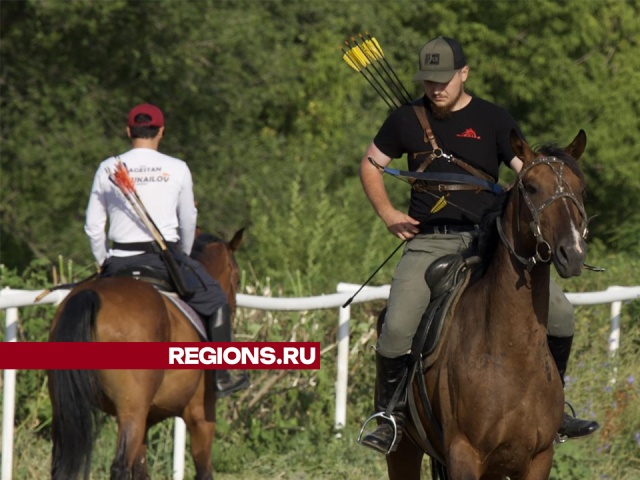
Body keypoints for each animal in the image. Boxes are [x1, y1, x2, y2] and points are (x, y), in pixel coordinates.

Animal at [48, 229, 245, 480]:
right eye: (237, 279)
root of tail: (93, 297)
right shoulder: (200, 416)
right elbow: (204, 472)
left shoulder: (147, 420)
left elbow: (142, 471)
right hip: (131, 411)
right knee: (119, 466)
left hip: (66, 410)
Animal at [384, 132, 592, 480]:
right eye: (531, 187)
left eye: (581, 189)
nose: (573, 253)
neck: (511, 353)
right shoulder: (464, 455)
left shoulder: (537, 459)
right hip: (403, 453)